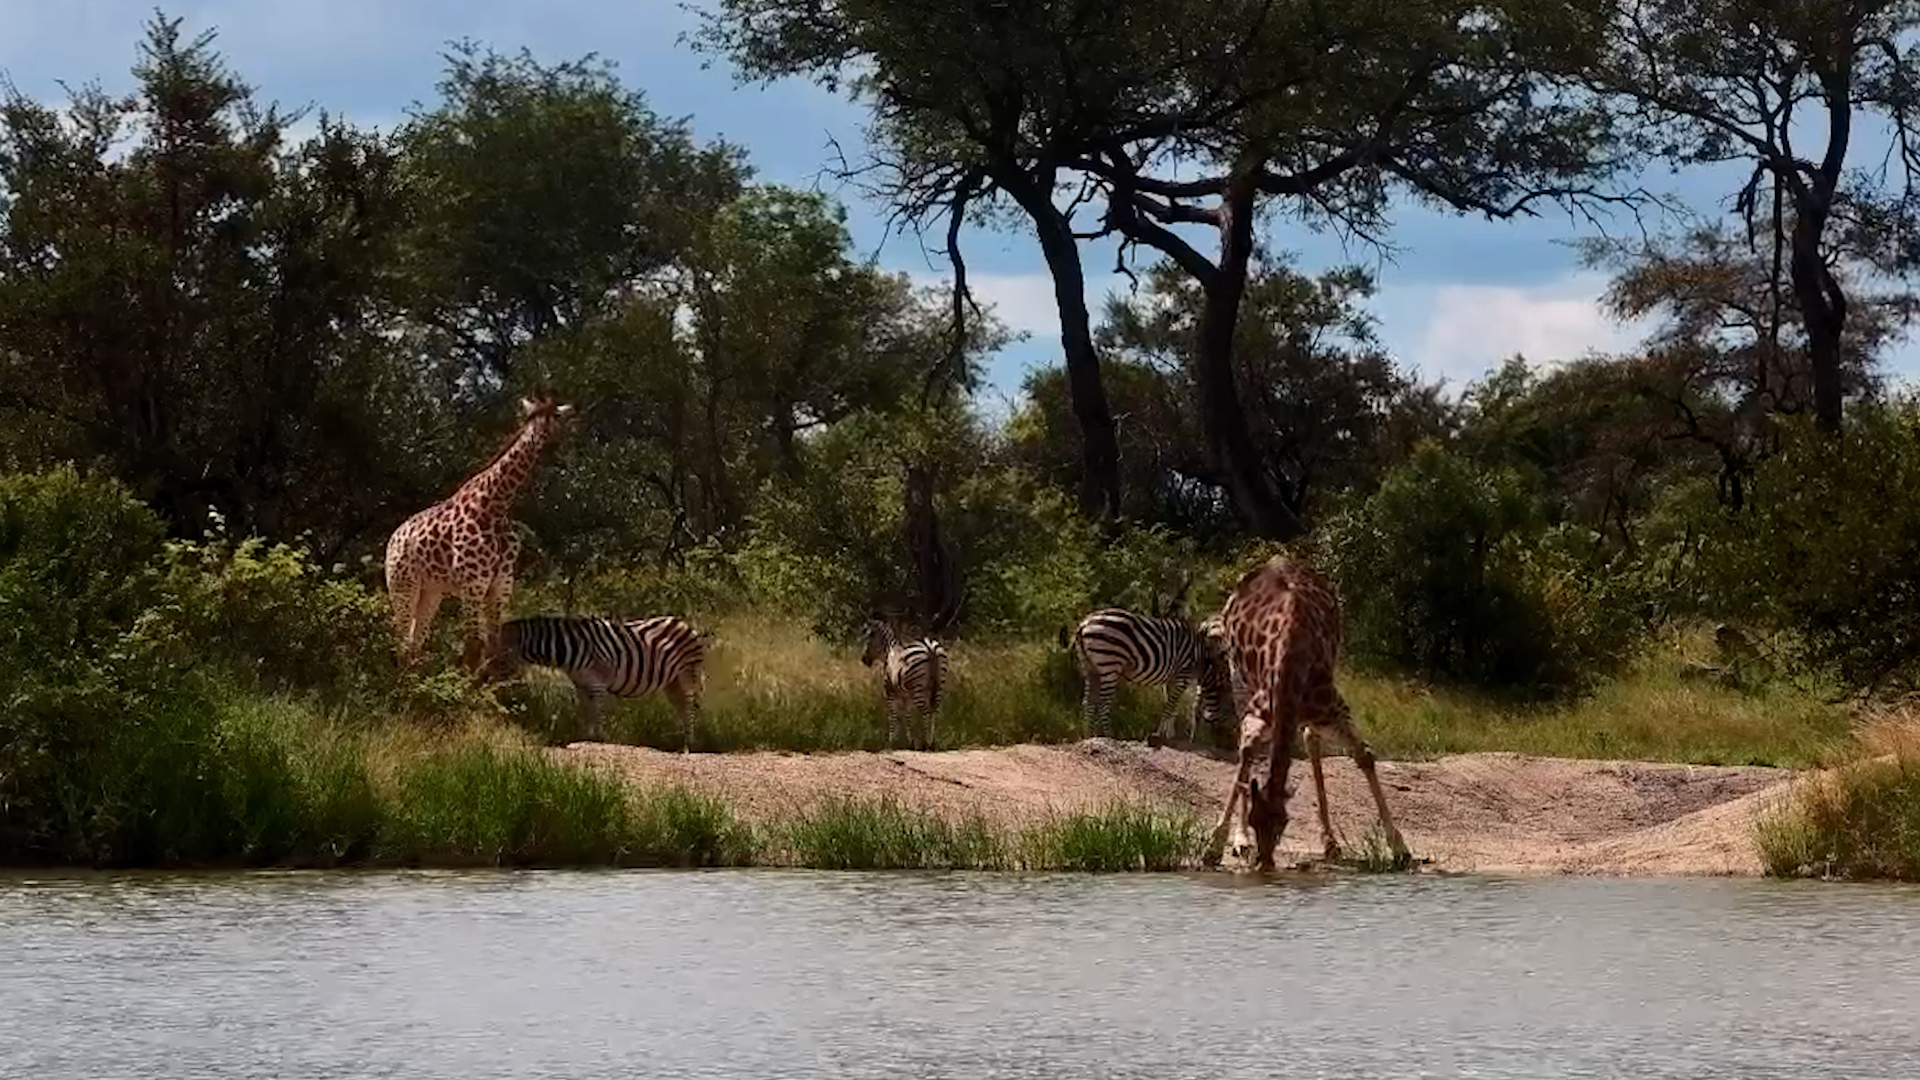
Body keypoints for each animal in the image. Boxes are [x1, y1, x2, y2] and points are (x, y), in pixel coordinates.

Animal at [384, 394, 575, 673]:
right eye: (535, 417)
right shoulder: (473, 585)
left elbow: (494, 648)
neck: (496, 507)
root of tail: (392, 539)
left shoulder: (501, 586)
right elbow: (473, 648)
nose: (546, 445)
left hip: (431, 592)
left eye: (558, 416)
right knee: (400, 640)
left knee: (414, 642)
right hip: (402, 585)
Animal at [497, 614, 708, 751]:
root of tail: (683, 622)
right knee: (681, 707)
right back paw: (680, 740)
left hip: (687, 675)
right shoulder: (581, 685)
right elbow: (586, 713)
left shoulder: (597, 684)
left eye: (502, 653)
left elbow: (597, 713)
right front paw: (586, 737)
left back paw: (689, 745)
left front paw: (598, 740)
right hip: (671, 681)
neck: (570, 649)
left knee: (689, 707)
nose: (492, 680)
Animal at [859, 614, 948, 751]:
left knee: (926, 712)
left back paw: (926, 743)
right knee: (934, 711)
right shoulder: (905, 695)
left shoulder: (889, 692)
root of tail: (929, 648)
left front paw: (891, 741)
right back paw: (931, 742)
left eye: (869, 638)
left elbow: (893, 716)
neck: (888, 651)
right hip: (938, 687)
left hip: (918, 689)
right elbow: (907, 716)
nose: (864, 660)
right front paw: (910, 742)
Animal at [1059, 607, 1233, 742]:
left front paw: (1168, 733)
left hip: (1090, 667)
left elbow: (1171, 705)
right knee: (1103, 703)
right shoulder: (1183, 674)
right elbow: (1171, 705)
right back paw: (1108, 736)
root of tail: (1084, 623)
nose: (1217, 732)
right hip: (1110, 663)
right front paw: (1160, 734)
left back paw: (1088, 735)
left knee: (1088, 701)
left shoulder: (1171, 679)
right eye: (1223, 692)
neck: (1203, 659)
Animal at [1204, 555, 1409, 871]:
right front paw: (1219, 845)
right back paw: (1242, 843)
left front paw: (1400, 848)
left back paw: (1330, 842)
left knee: (1311, 740)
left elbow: (1364, 755)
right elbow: (1246, 752)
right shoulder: (1260, 710)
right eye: (1254, 820)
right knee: (1250, 746)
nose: (1265, 864)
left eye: (1283, 824)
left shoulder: (1333, 707)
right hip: (1239, 677)